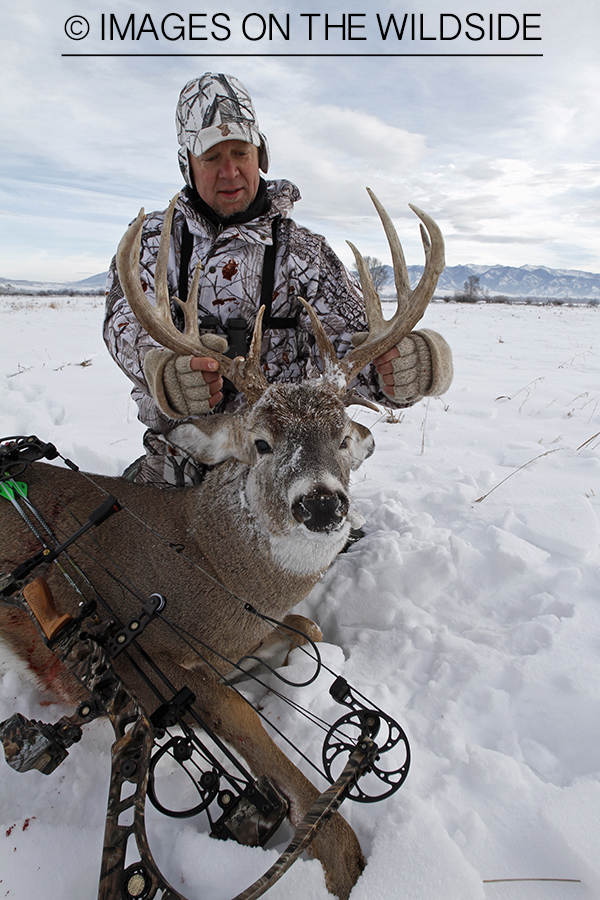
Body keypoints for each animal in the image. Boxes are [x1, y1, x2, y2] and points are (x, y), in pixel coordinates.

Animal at [0, 189, 444, 900]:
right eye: (260, 442)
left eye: (343, 438)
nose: (322, 504)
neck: (210, 563)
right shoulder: (151, 659)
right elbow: (258, 735)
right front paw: (346, 864)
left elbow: (310, 629)